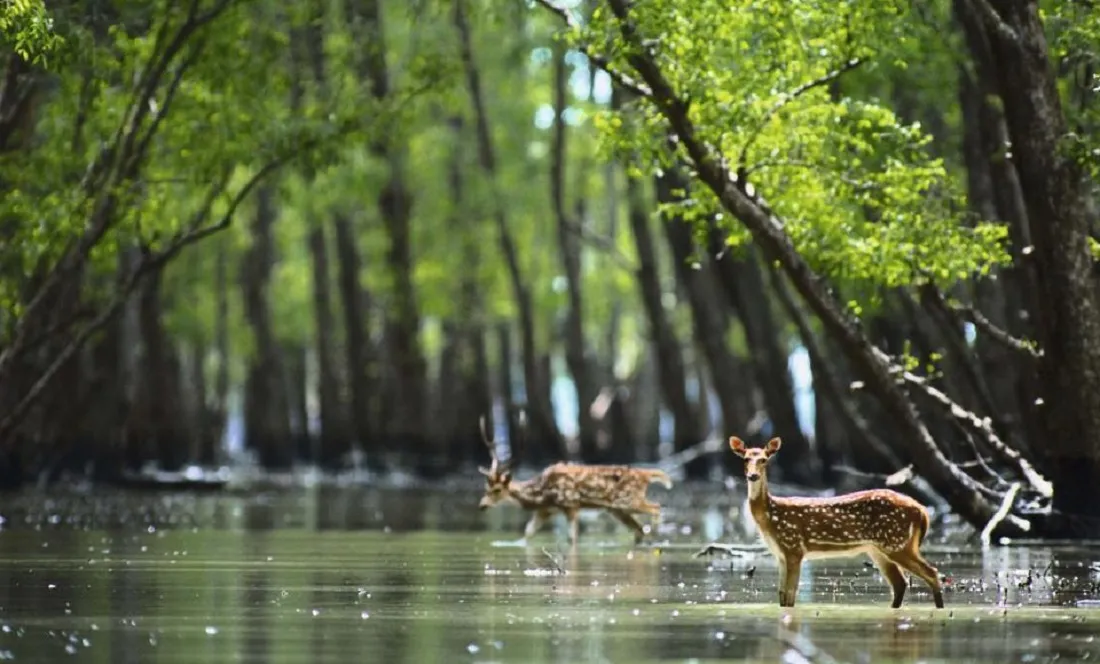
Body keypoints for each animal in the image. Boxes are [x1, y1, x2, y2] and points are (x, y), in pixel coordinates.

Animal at [479, 413, 673, 547]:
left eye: (497, 490)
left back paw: (657, 536)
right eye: (485, 488)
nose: (482, 505)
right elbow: (528, 533)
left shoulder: (571, 504)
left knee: (656, 508)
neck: (541, 493)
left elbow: (571, 539)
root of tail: (646, 474)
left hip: (628, 500)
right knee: (638, 529)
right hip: (617, 509)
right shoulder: (545, 510)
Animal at [730, 435, 946, 606]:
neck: (770, 516)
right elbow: (782, 596)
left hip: (897, 542)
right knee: (900, 583)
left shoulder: (794, 548)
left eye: (764, 459)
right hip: (879, 548)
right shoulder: (780, 554)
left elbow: (790, 595)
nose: (753, 475)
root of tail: (922, 511)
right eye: (746, 458)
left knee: (932, 573)